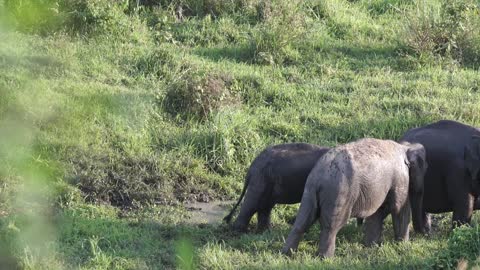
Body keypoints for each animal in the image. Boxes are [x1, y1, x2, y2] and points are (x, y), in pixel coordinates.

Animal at [282, 138, 428, 258]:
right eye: (425, 168)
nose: (426, 233)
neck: (405, 146)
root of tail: (320, 175)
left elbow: (376, 214)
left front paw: (370, 247)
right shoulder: (400, 178)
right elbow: (399, 209)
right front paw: (403, 246)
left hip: (309, 191)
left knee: (302, 221)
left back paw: (287, 254)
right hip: (340, 193)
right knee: (331, 227)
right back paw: (326, 259)